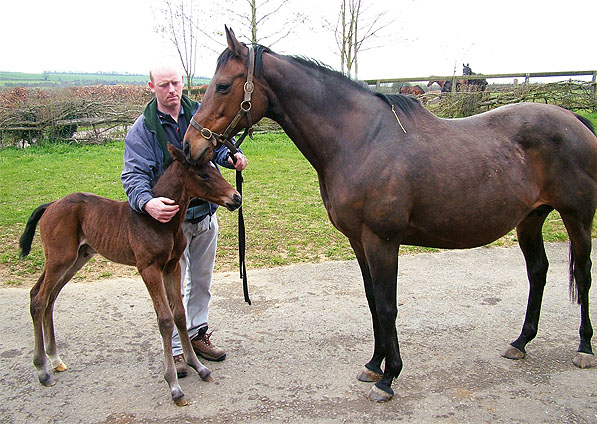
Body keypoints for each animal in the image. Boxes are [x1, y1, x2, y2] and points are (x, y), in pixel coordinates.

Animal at [19, 146, 241, 408]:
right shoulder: (148, 268)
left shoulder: (171, 266)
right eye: (203, 175)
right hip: (59, 259)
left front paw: (199, 367)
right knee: (39, 300)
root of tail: (51, 204)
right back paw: (42, 369)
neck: (159, 222)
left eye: (215, 167)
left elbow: (179, 314)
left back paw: (55, 359)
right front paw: (174, 386)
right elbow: (165, 320)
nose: (236, 197)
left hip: (76, 259)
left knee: (46, 298)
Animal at [184, 26, 596, 404]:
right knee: (538, 271)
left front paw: (389, 377)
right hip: (531, 219)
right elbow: (371, 301)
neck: (360, 139)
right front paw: (373, 364)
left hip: (576, 217)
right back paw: (521, 341)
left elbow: (386, 305)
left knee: (583, 274)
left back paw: (584, 348)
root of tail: (573, 118)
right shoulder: (359, 241)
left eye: (223, 86)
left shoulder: (382, 241)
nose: (190, 147)